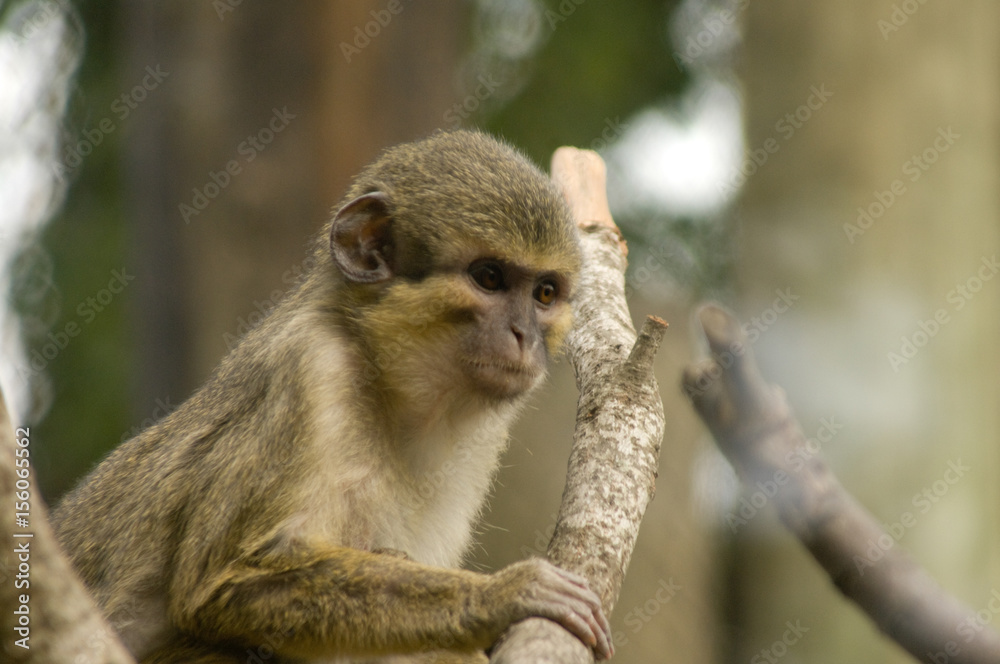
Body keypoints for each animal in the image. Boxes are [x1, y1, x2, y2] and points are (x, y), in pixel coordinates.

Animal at [51, 130, 613, 663]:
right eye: (489, 278)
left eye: (544, 294)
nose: (523, 335)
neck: (385, 382)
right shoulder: (310, 370)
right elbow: (219, 583)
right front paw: (502, 595)